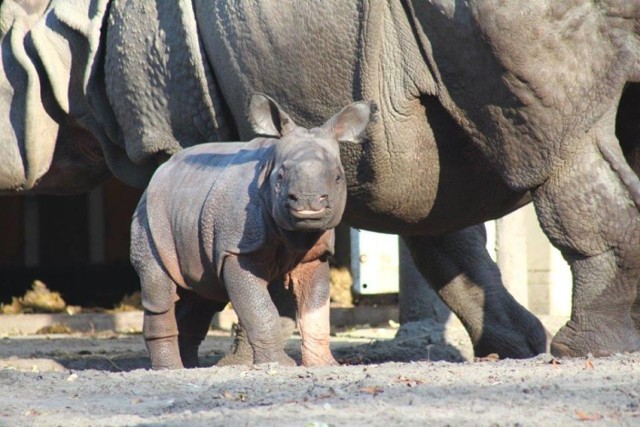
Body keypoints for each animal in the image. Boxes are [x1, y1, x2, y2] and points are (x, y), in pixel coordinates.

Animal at [130, 94, 370, 372]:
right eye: (280, 176)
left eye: (338, 178)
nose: (308, 203)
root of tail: (158, 174)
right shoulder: (236, 250)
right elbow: (261, 309)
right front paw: (280, 364)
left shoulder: (315, 254)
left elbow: (315, 310)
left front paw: (325, 365)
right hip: (149, 218)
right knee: (160, 289)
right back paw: (171, 370)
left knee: (200, 293)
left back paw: (189, 367)